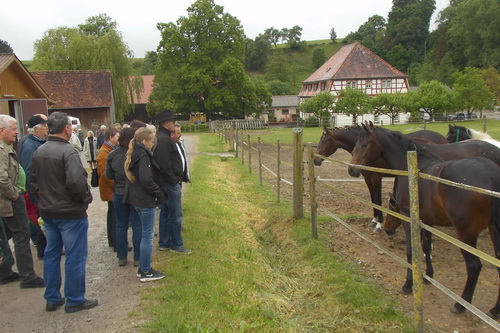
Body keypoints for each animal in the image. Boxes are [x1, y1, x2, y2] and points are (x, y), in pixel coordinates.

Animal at [314, 125, 448, 231]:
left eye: (324, 141)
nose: (315, 160)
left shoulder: (376, 178)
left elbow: (378, 200)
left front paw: (379, 223)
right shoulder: (367, 178)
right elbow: (373, 199)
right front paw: (374, 220)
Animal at [350, 124, 500, 316]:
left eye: (364, 144)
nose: (352, 169)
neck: (413, 167)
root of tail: (492, 177)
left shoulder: (408, 218)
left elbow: (410, 250)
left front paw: (408, 284)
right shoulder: (426, 220)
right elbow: (426, 247)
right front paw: (427, 276)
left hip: (466, 234)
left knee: (474, 266)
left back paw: (461, 304)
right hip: (494, 230)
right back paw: (495, 310)